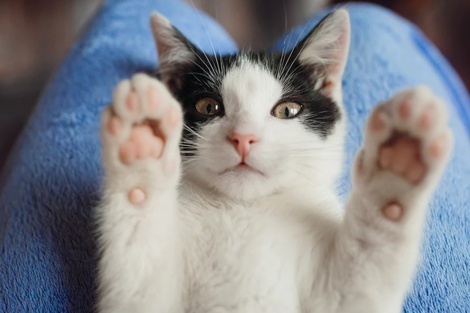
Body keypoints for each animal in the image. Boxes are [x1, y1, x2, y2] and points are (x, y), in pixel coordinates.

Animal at [95, 9, 452, 312]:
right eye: (208, 107)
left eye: (287, 110)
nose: (243, 137)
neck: (242, 208)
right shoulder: (147, 299)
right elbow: (139, 284)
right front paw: (142, 144)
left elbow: (359, 280)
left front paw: (398, 163)